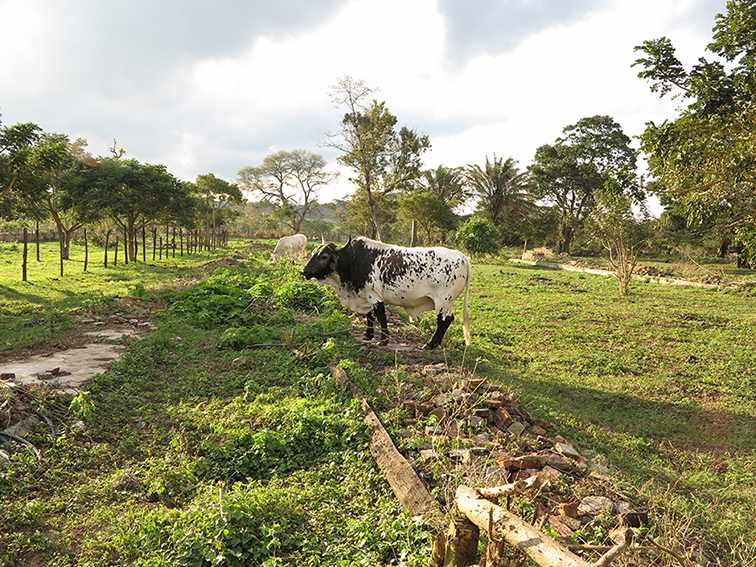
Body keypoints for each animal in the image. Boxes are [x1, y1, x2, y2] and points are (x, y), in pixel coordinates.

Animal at [302, 236, 472, 350]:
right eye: (313, 253)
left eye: (324, 256)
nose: (303, 272)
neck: (352, 259)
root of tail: (462, 257)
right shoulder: (365, 296)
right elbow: (369, 316)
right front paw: (368, 335)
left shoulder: (375, 297)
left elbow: (381, 318)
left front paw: (383, 340)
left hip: (443, 301)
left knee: (445, 320)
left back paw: (430, 344)